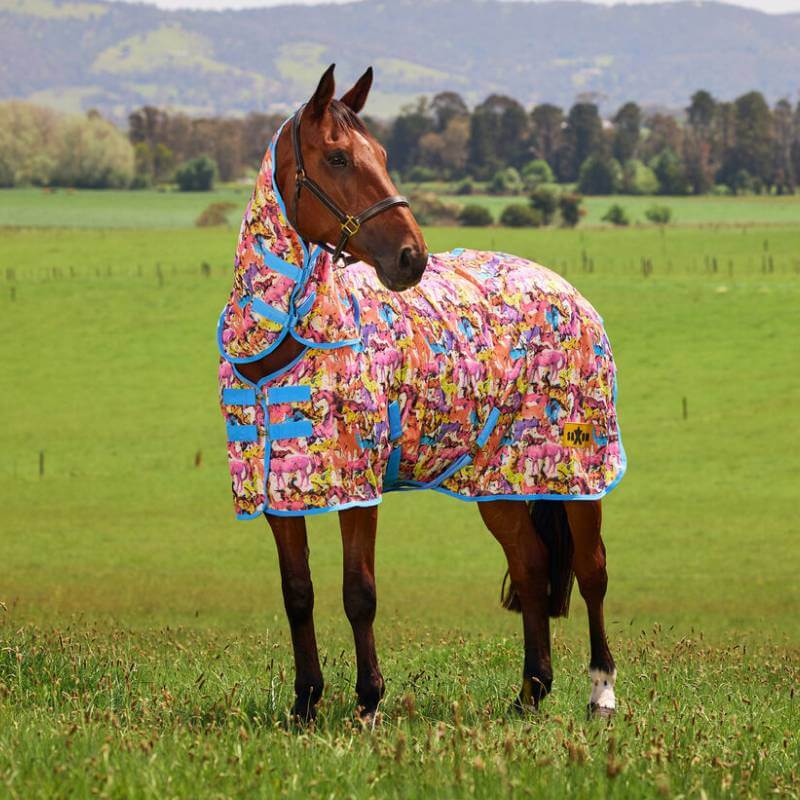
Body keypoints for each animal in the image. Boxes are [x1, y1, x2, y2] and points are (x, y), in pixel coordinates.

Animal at [217, 65, 625, 723]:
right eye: (337, 156)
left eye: (383, 155)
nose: (412, 256)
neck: (281, 346)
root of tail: (563, 287)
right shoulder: (278, 493)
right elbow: (297, 592)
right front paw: (305, 704)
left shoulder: (357, 488)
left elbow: (358, 592)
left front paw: (368, 703)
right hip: (499, 479)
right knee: (531, 565)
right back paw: (530, 692)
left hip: (579, 469)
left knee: (592, 571)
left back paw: (601, 692)